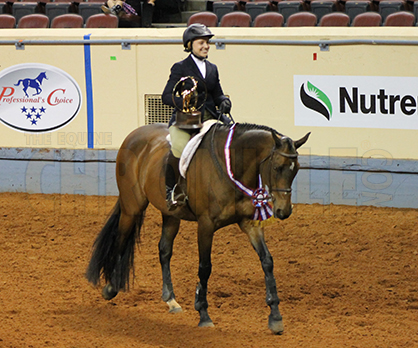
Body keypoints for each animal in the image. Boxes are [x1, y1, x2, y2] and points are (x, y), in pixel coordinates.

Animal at [86, 122, 310, 334]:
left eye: (297, 168)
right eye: (277, 167)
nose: (284, 211)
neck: (232, 167)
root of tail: (133, 134)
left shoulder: (249, 223)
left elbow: (267, 261)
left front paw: (275, 316)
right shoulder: (206, 224)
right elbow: (205, 267)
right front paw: (203, 314)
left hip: (171, 215)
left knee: (164, 250)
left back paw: (170, 300)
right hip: (132, 206)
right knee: (120, 239)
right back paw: (111, 287)